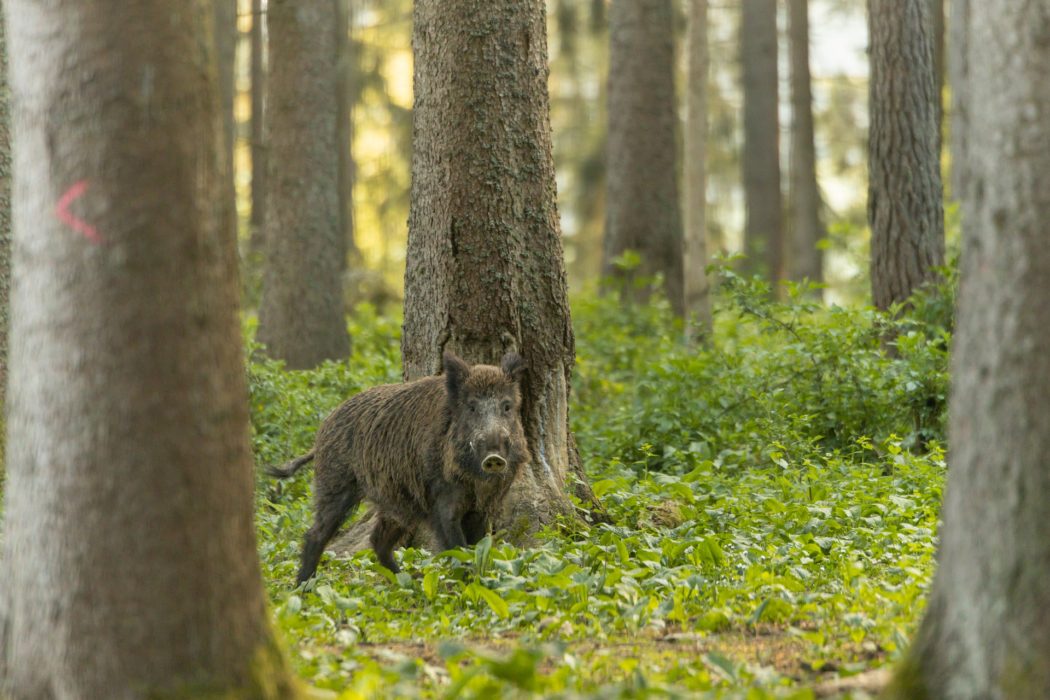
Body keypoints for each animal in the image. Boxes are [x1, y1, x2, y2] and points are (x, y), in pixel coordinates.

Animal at [268, 351, 530, 582]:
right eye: (472, 407)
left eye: (507, 406)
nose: (494, 457)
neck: (475, 482)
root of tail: (322, 432)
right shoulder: (442, 500)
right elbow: (457, 546)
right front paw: (466, 582)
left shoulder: (482, 508)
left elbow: (477, 547)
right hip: (335, 484)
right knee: (316, 534)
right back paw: (303, 587)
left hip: (396, 501)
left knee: (378, 540)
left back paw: (405, 581)